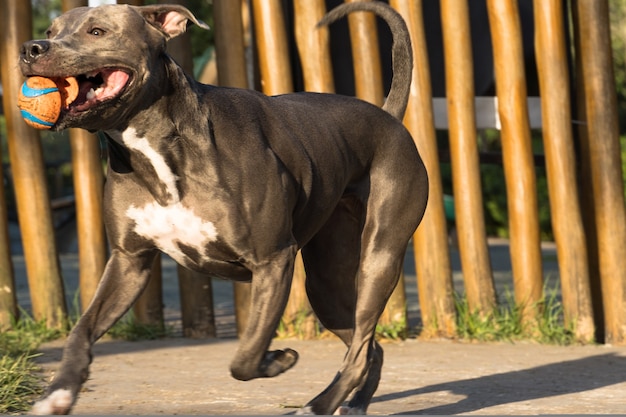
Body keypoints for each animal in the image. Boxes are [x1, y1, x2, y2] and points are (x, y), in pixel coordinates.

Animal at [22, 1, 426, 414]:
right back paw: (353, 401)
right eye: (52, 32)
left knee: (360, 347)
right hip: (325, 285)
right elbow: (82, 330)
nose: (31, 48)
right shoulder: (128, 262)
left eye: (97, 32)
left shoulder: (273, 260)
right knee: (368, 346)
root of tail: (388, 116)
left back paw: (319, 404)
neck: (156, 147)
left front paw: (277, 359)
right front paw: (58, 393)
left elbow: (246, 356)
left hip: (379, 259)